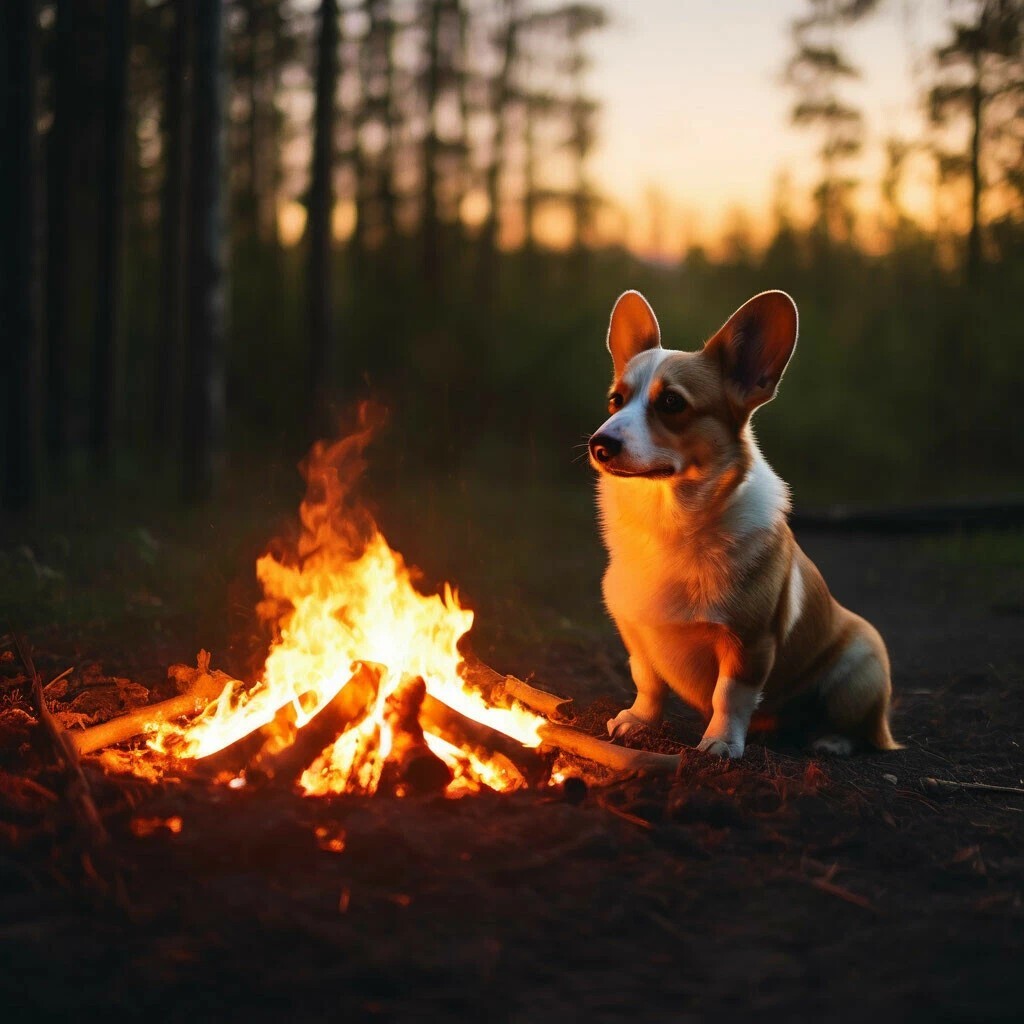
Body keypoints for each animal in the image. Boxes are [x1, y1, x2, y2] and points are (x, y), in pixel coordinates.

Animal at [593, 292, 897, 757]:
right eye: (615, 400)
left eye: (672, 403)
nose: (600, 445)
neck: (669, 522)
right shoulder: (638, 636)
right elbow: (647, 682)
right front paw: (638, 722)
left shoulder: (749, 643)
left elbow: (729, 695)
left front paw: (720, 743)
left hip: (860, 666)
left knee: (856, 725)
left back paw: (831, 740)